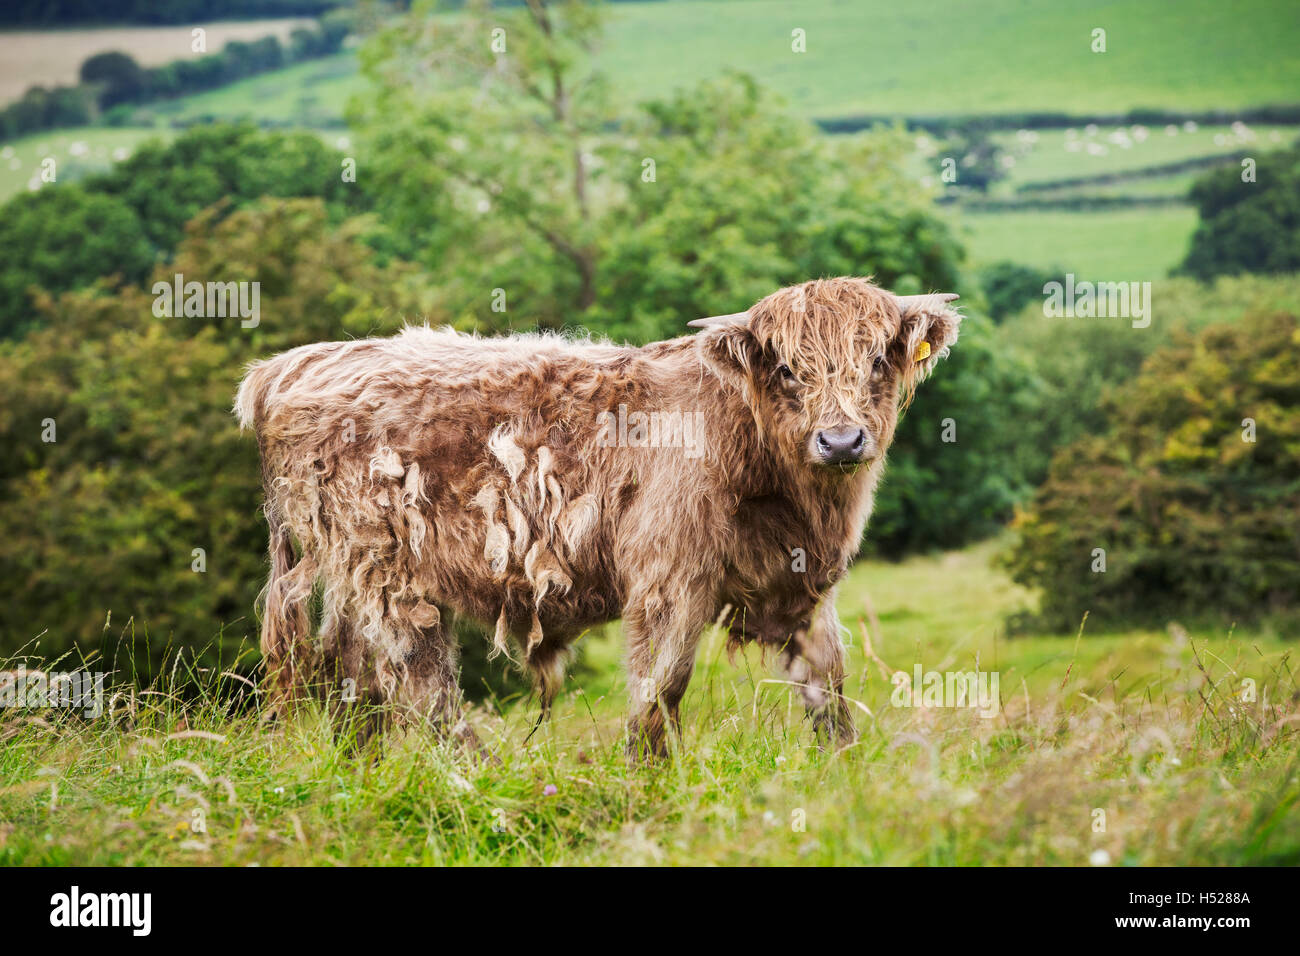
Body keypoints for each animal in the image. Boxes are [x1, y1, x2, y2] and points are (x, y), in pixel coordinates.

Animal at [235, 277, 961, 757]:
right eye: (786, 368)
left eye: (878, 359)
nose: (840, 441)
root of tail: (293, 364)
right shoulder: (669, 581)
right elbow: (659, 689)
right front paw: (649, 781)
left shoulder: (804, 584)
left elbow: (829, 687)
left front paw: (844, 773)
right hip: (388, 576)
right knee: (420, 684)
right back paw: (481, 775)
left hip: (352, 580)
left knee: (350, 673)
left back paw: (361, 765)